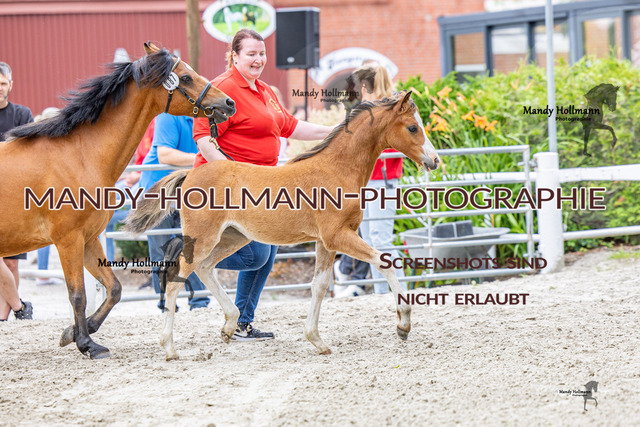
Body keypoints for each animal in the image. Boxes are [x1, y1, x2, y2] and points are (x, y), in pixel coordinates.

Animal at [0, 42, 236, 359]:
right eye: (186, 77)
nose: (229, 103)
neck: (78, 155)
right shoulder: (67, 240)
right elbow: (78, 295)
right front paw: (87, 344)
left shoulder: (89, 239)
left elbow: (114, 288)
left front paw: (73, 333)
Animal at [125, 91, 440, 360]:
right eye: (413, 128)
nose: (435, 160)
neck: (336, 169)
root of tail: (189, 174)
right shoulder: (338, 236)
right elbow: (384, 261)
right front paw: (403, 324)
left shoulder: (325, 242)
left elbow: (319, 285)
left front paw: (317, 340)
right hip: (204, 238)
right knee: (176, 275)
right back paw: (169, 348)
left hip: (232, 237)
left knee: (204, 268)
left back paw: (229, 326)